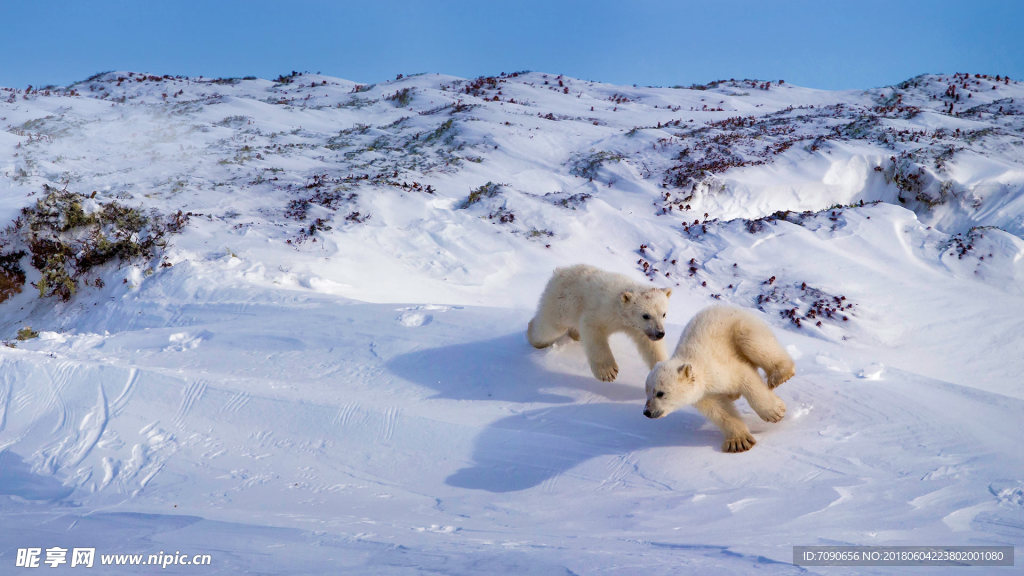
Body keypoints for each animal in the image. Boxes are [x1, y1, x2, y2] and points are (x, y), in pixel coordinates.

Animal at [528, 264, 671, 381]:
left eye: (664, 314)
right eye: (645, 315)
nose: (660, 333)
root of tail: (558, 272)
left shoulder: (639, 329)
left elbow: (651, 346)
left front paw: (664, 371)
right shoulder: (602, 311)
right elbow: (593, 329)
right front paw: (608, 372)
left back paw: (576, 335)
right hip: (562, 303)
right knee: (549, 328)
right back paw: (534, 337)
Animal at [643, 305, 794, 453]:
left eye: (660, 393)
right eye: (647, 393)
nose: (646, 412)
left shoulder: (717, 366)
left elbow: (744, 376)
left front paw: (774, 412)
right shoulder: (703, 394)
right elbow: (719, 410)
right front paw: (738, 442)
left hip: (742, 326)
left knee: (754, 343)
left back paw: (779, 375)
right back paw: (733, 395)